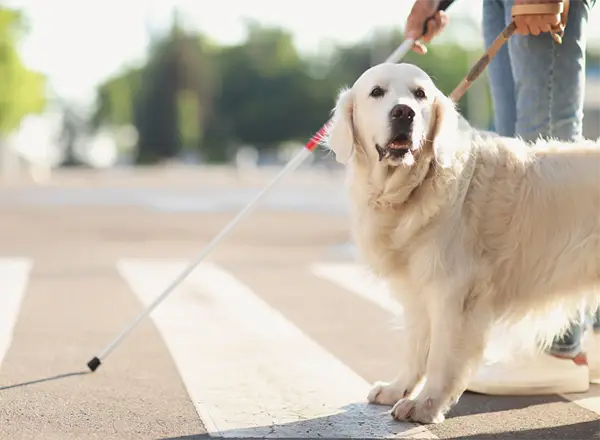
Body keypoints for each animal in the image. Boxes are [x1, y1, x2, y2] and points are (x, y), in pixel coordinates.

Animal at [326, 62, 600, 422]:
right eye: (376, 92)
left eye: (420, 94)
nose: (403, 113)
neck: (412, 190)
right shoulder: (416, 290)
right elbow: (415, 349)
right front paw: (398, 388)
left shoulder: (452, 290)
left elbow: (441, 356)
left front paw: (425, 404)